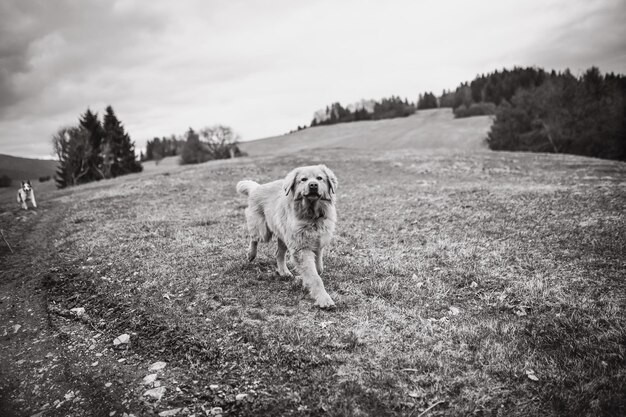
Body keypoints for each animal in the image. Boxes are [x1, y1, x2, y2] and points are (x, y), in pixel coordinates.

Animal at [236, 164, 338, 308]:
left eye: (320, 178)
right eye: (303, 179)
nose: (313, 185)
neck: (312, 216)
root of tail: (258, 187)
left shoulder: (318, 245)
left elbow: (318, 269)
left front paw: (304, 281)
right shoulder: (301, 249)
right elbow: (315, 277)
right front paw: (323, 298)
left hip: (284, 237)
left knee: (278, 253)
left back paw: (283, 272)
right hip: (263, 231)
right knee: (254, 238)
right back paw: (251, 254)